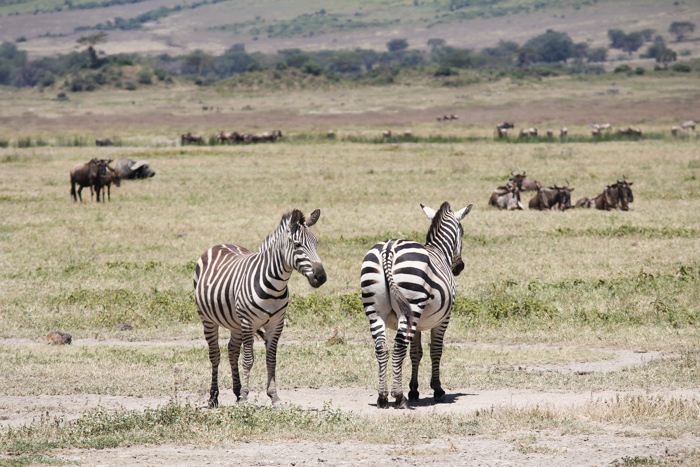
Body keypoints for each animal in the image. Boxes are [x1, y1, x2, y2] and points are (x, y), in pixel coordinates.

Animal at [190, 210, 324, 408]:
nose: (321, 277)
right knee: (215, 354)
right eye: (297, 245)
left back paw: (237, 392)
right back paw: (214, 397)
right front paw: (246, 397)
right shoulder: (248, 322)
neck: (275, 286)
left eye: (316, 243)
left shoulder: (276, 324)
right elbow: (248, 360)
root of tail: (220, 244)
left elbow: (271, 359)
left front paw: (273, 396)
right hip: (208, 319)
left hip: (235, 322)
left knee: (232, 351)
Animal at [360, 202, 470, 410]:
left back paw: (382, 397)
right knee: (398, 346)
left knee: (381, 347)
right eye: (462, 232)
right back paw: (398, 397)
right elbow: (436, 351)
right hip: (411, 304)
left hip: (375, 309)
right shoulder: (444, 318)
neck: (439, 250)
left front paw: (414, 390)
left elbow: (416, 353)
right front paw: (437, 390)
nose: (459, 267)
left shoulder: (417, 323)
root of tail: (388, 249)